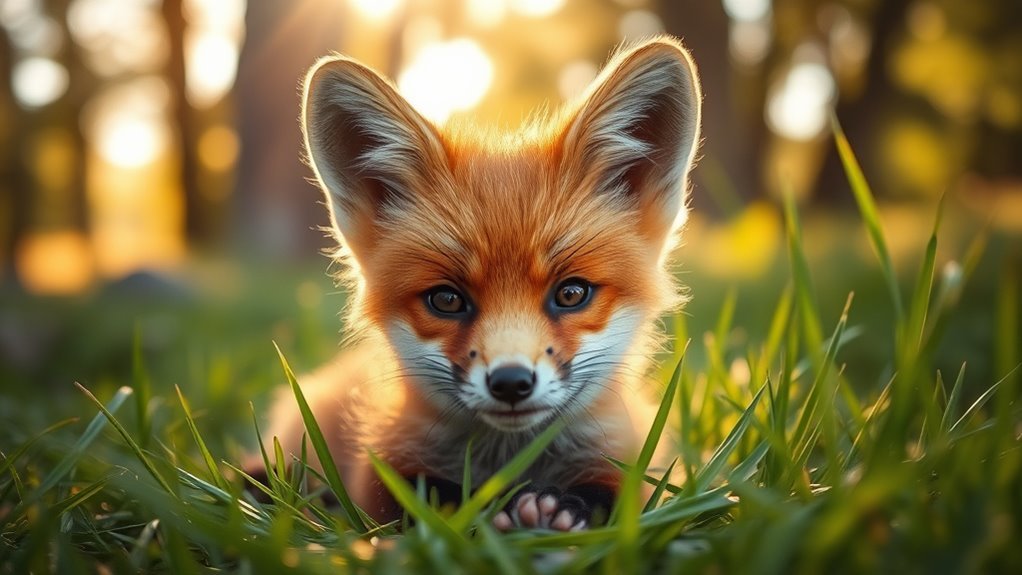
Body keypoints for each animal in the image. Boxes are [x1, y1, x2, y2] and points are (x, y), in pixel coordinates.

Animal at [258, 36, 702, 532]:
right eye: (447, 300)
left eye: (571, 293)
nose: (511, 382)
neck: (508, 463)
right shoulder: (378, 478)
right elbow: (432, 500)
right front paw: (489, 511)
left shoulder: (632, 463)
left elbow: (614, 498)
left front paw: (557, 509)